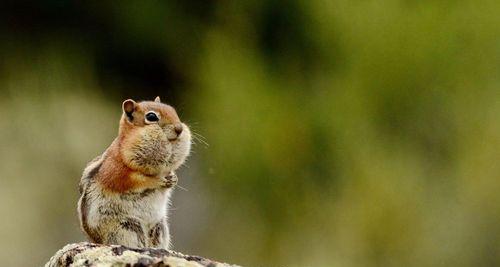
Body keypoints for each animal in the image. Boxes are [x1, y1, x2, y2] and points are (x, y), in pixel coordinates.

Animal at [77, 97, 191, 250]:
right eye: (151, 117)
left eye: (173, 111)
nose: (179, 129)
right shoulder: (118, 172)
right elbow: (140, 181)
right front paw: (159, 180)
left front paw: (173, 178)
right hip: (128, 226)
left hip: (160, 227)